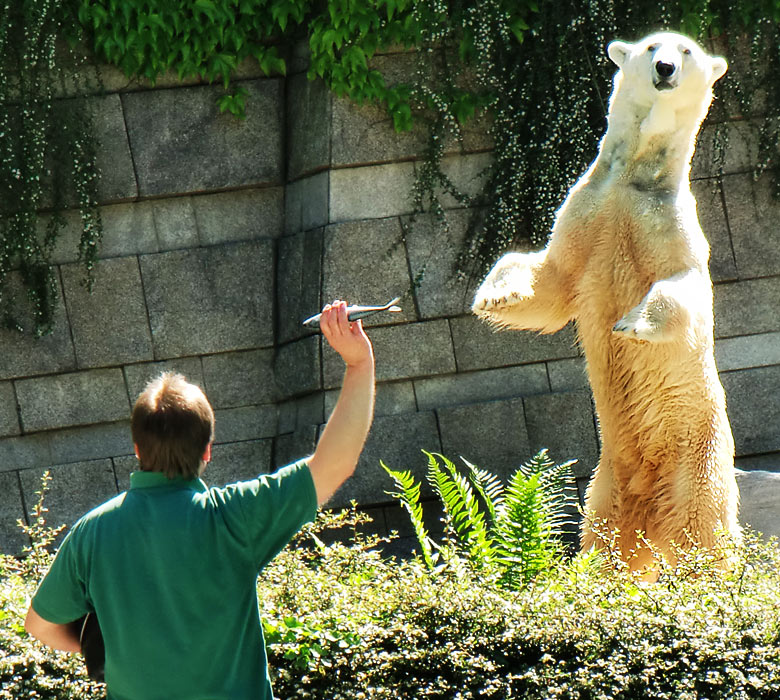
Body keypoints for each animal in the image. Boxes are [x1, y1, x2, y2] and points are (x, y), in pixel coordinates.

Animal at [472, 31, 740, 576]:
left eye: (686, 52)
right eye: (654, 46)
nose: (664, 69)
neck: (635, 175)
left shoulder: (668, 220)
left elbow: (683, 287)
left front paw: (632, 324)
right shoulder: (591, 207)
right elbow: (552, 278)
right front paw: (495, 293)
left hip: (697, 460)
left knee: (703, 536)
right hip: (608, 480)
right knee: (607, 542)